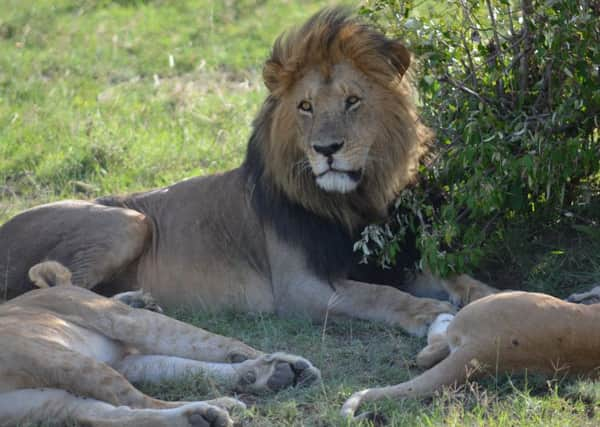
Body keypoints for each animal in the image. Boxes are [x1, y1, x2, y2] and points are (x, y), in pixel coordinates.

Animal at [0, 5, 494, 334]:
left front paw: (489, 295)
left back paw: (138, 302)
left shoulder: (398, 261)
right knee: (48, 291)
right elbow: (379, 295)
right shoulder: (300, 288)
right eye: (306, 107)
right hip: (129, 220)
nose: (327, 149)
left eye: (353, 101)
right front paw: (427, 314)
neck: (357, 201)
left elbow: (453, 277)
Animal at [1, 262, 318, 426]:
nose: (149, 300)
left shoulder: (126, 362)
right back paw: (219, 407)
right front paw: (276, 362)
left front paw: (265, 373)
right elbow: (209, 340)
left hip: (38, 403)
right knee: (135, 401)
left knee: (113, 414)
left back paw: (200, 417)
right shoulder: (125, 320)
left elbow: (189, 366)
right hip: (61, 358)